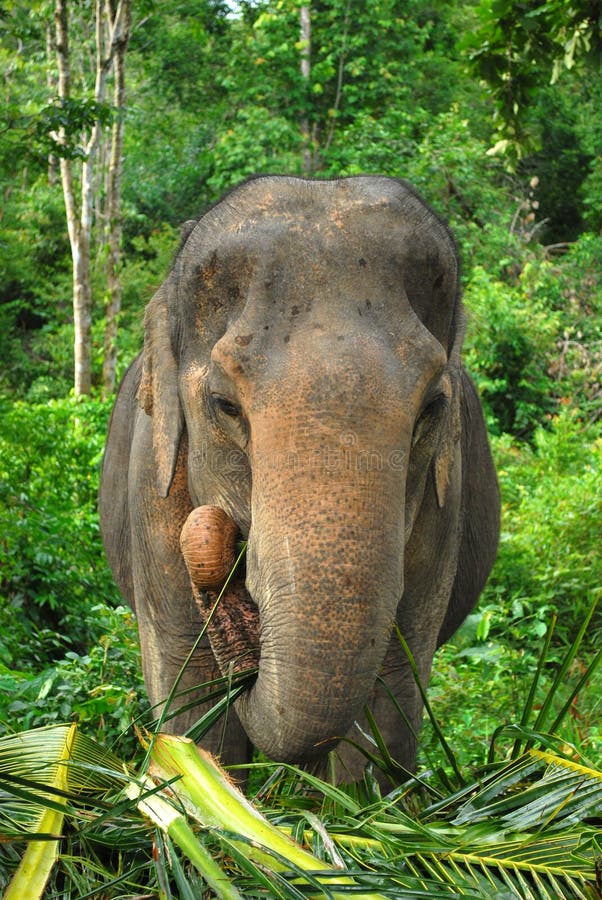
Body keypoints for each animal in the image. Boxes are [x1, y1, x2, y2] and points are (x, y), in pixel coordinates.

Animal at [99, 175, 499, 783]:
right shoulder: (153, 487)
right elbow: (189, 686)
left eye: (432, 407)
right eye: (224, 405)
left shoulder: (441, 504)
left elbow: (390, 687)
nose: (213, 531)